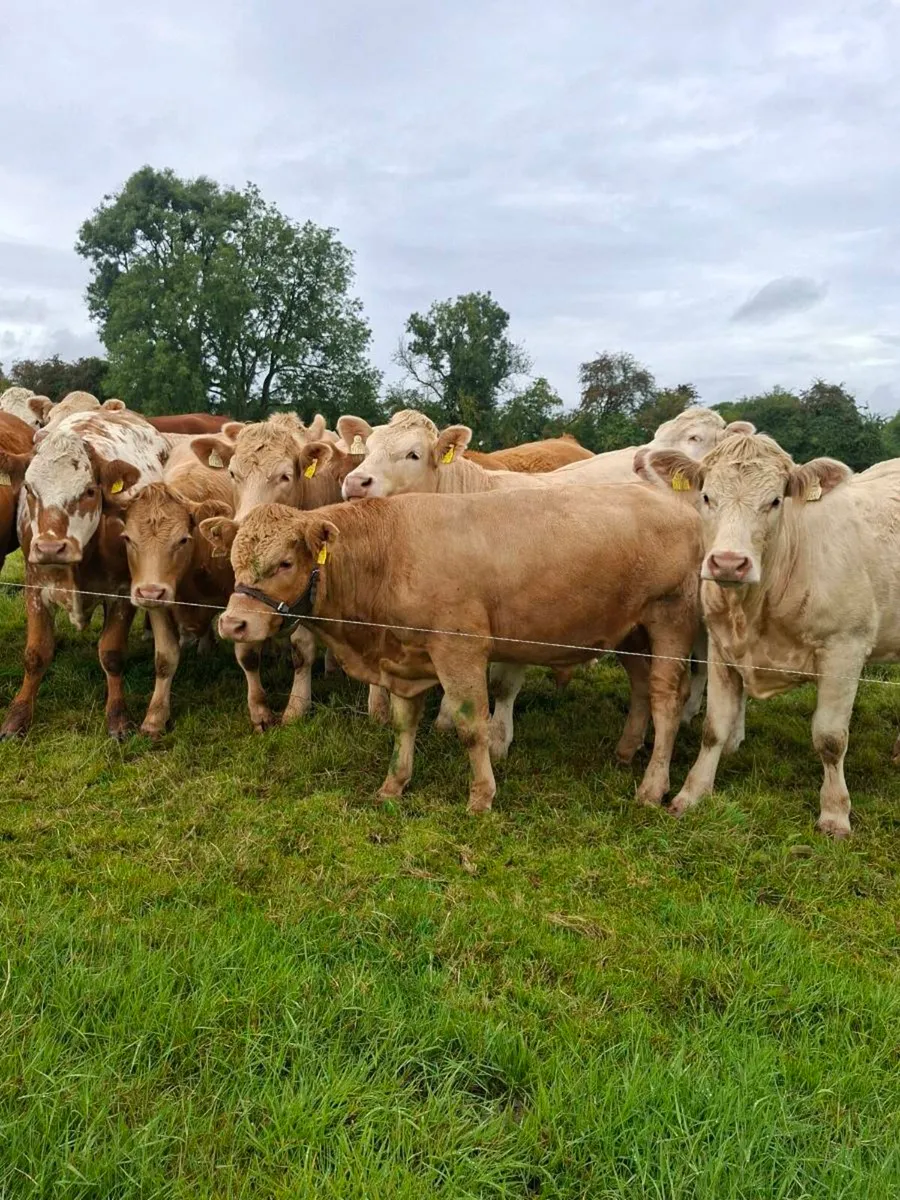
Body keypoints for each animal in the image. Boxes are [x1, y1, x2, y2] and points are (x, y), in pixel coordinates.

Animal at [0, 410, 171, 740]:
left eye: (90, 491)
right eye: (29, 490)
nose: (51, 548)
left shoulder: (122, 592)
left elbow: (112, 654)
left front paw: (117, 716)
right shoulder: (34, 585)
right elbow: (35, 654)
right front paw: (17, 716)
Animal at [213, 486, 702, 813]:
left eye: (285, 563)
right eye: (233, 562)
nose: (234, 623)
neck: (390, 552)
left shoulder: (460, 650)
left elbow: (471, 726)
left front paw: (481, 796)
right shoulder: (405, 661)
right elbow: (404, 724)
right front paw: (394, 784)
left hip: (670, 620)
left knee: (666, 699)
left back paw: (653, 787)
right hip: (632, 634)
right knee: (641, 689)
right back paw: (626, 750)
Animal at [640, 433, 900, 838]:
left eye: (775, 500)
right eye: (706, 496)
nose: (728, 563)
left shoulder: (845, 648)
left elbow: (830, 738)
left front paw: (834, 814)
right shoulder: (720, 647)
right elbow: (714, 727)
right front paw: (692, 793)